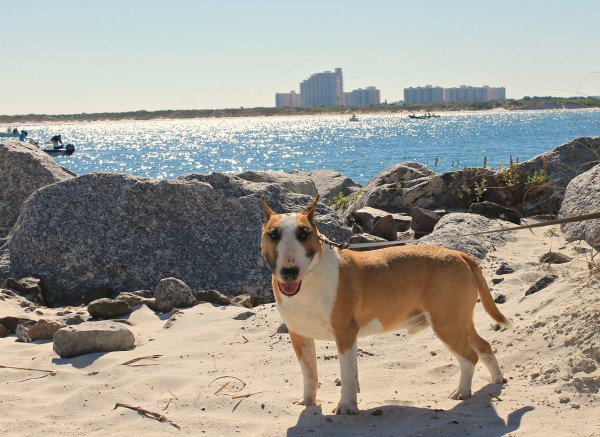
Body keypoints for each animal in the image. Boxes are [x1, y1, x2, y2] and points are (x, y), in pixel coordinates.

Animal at [258, 196, 510, 414]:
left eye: (304, 234)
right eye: (273, 235)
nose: (289, 272)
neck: (309, 280)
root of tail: (458, 254)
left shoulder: (345, 334)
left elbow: (347, 375)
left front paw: (346, 407)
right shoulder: (299, 336)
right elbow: (310, 373)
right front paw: (307, 402)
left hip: (447, 324)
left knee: (469, 356)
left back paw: (462, 392)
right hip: (458, 322)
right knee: (484, 346)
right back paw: (496, 380)